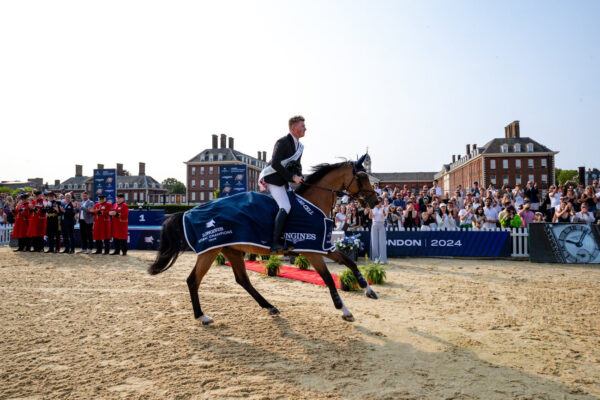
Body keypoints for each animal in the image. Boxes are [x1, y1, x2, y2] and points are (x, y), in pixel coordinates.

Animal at [148, 155, 378, 324]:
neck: (312, 203)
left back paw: (270, 306)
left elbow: (349, 262)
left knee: (242, 280)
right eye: (362, 177)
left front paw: (367, 288)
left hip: (231, 250)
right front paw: (344, 309)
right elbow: (329, 278)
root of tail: (188, 212)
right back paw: (202, 316)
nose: (375, 201)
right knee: (193, 280)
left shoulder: (323, 246)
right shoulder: (311, 250)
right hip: (210, 251)